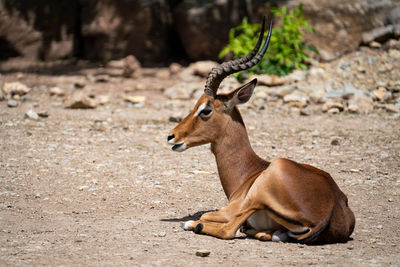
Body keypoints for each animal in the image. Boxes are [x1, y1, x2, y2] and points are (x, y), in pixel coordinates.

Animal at [167, 17, 354, 245]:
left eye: (206, 109)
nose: (171, 136)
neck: (249, 172)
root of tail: (328, 210)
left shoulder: (233, 207)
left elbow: (208, 216)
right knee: (271, 234)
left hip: (257, 195)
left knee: (226, 229)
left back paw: (196, 224)